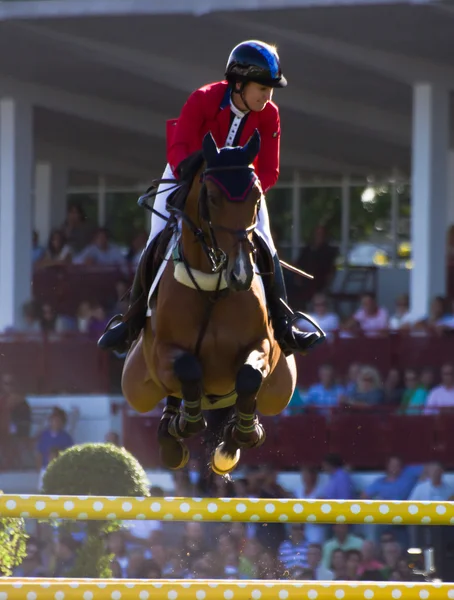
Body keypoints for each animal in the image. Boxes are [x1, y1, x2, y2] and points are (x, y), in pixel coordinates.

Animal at [120, 132, 298, 478]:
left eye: (257, 197)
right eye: (212, 197)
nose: (241, 273)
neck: (213, 286)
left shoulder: (262, 346)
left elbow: (249, 377)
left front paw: (235, 441)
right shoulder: (162, 352)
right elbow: (187, 370)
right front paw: (181, 426)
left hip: (281, 389)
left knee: (254, 397)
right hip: (136, 386)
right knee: (168, 396)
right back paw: (172, 437)